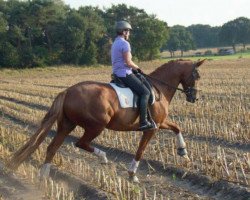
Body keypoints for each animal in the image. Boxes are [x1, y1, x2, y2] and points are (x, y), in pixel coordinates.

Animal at [6, 58, 205, 183]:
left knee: (52, 147)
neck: (159, 87)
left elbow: (176, 127)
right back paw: (103, 157)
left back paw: (43, 176)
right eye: (196, 76)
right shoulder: (151, 128)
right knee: (80, 143)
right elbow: (140, 151)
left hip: (66, 125)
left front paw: (183, 151)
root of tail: (68, 91)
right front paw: (132, 174)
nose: (194, 98)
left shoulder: (160, 123)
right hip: (96, 126)